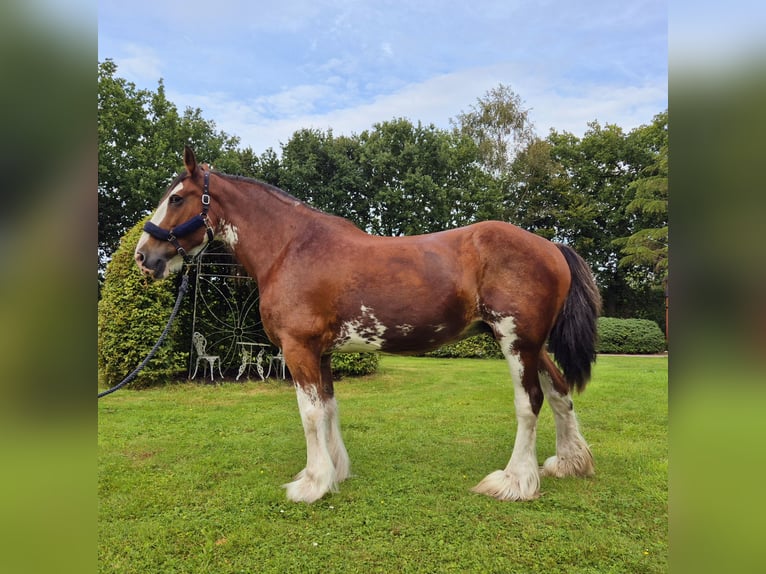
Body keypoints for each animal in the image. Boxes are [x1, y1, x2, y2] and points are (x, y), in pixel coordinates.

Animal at [135, 147, 600, 504]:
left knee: (530, 401)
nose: (144, 256)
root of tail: (550, 246)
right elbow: (328, 408)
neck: (291, 248)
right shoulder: (320, 352)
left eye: (177, 198)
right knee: (559, 392)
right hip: (533, 344)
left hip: (515, 341)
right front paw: (335, 473)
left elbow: (309, 414)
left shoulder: (298, 348)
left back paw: (514, 481)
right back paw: (568, 463)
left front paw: (312, 483)